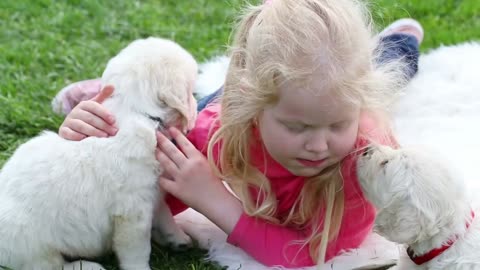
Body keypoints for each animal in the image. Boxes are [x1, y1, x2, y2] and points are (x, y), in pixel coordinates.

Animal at [0, 37, 197, 270]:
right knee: (49, 265)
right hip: (28, 240)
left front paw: (178, 238)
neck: (136, 111)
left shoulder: (153, 192)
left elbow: (164, 213)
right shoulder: (132, 211)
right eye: (191, 91)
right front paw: (141, 266)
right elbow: (137, 250)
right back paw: (88, 266)